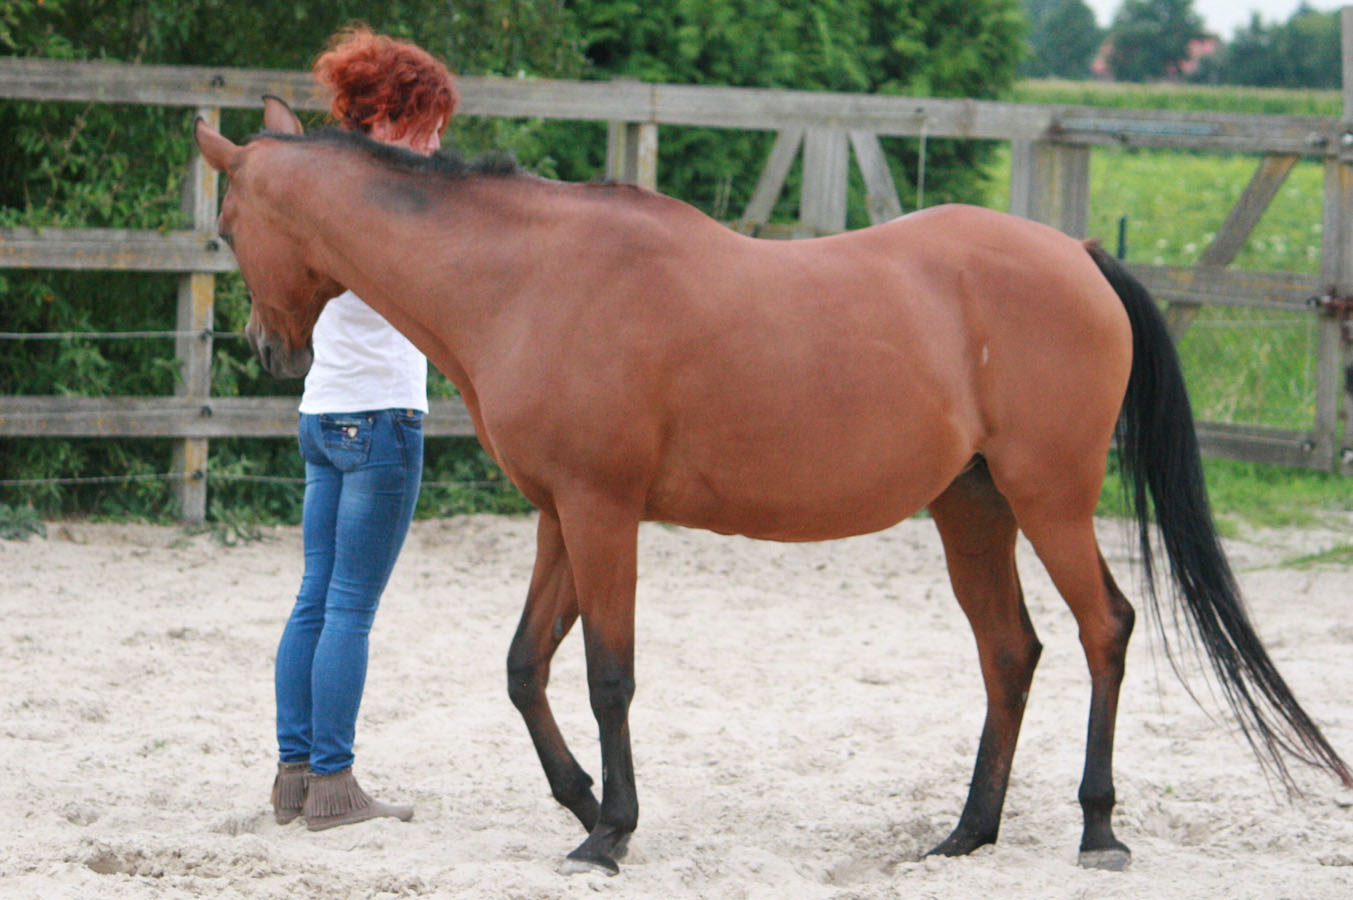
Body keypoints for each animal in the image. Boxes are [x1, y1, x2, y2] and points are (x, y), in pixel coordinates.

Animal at [193, 96, 1351, 875]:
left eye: (229, 227)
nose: (269, 350)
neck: (526, 279)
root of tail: (1074, 255)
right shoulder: (561, 514)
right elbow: (526, 666)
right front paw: (578, 801)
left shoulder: (606, 515)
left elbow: (607, 675)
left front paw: (610, 833)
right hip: (971, 508)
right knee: (1009, 653)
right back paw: (967, 833)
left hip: (1050, 500)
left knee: (1103, 629)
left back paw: (1098, 826)